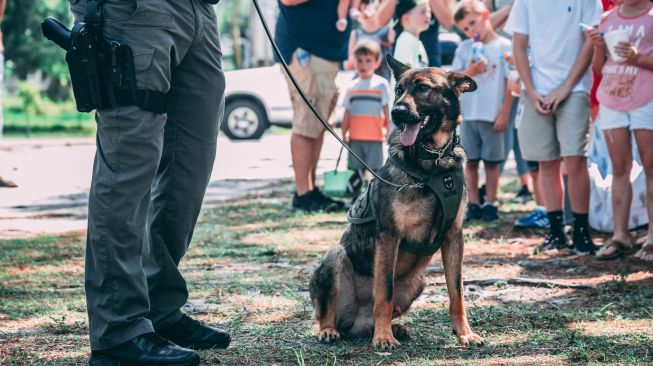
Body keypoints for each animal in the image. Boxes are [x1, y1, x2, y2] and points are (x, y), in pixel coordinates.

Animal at [306, 53, 484, 348]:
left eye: (422, 88)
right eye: (399, 89)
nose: (396, 112)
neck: (433, 161)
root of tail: (357, 319)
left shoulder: (453, 237)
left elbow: (456, 293)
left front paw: (465, 334)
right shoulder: (389, 236)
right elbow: (384, 292)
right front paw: (383, 337)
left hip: (418, 281)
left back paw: (393, 326)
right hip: (334, 256)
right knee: (328, 314)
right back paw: (333, 330)